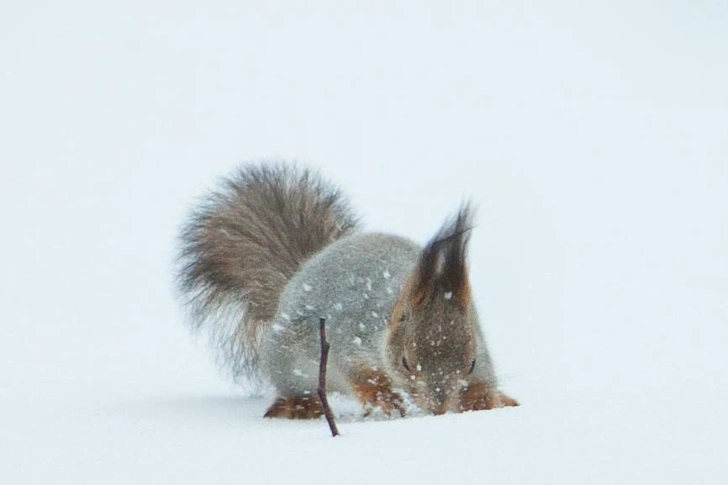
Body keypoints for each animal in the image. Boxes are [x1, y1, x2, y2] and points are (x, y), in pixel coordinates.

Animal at [176, 162, 516, 416]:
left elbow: (484, 381)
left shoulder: (480, 344)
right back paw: (301, 406)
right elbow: (357, 374)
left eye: (470, 362)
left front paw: (486, 400)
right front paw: (384, 397)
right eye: (405, 361)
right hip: (287, 365)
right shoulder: (346, 331)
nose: (439, 407)